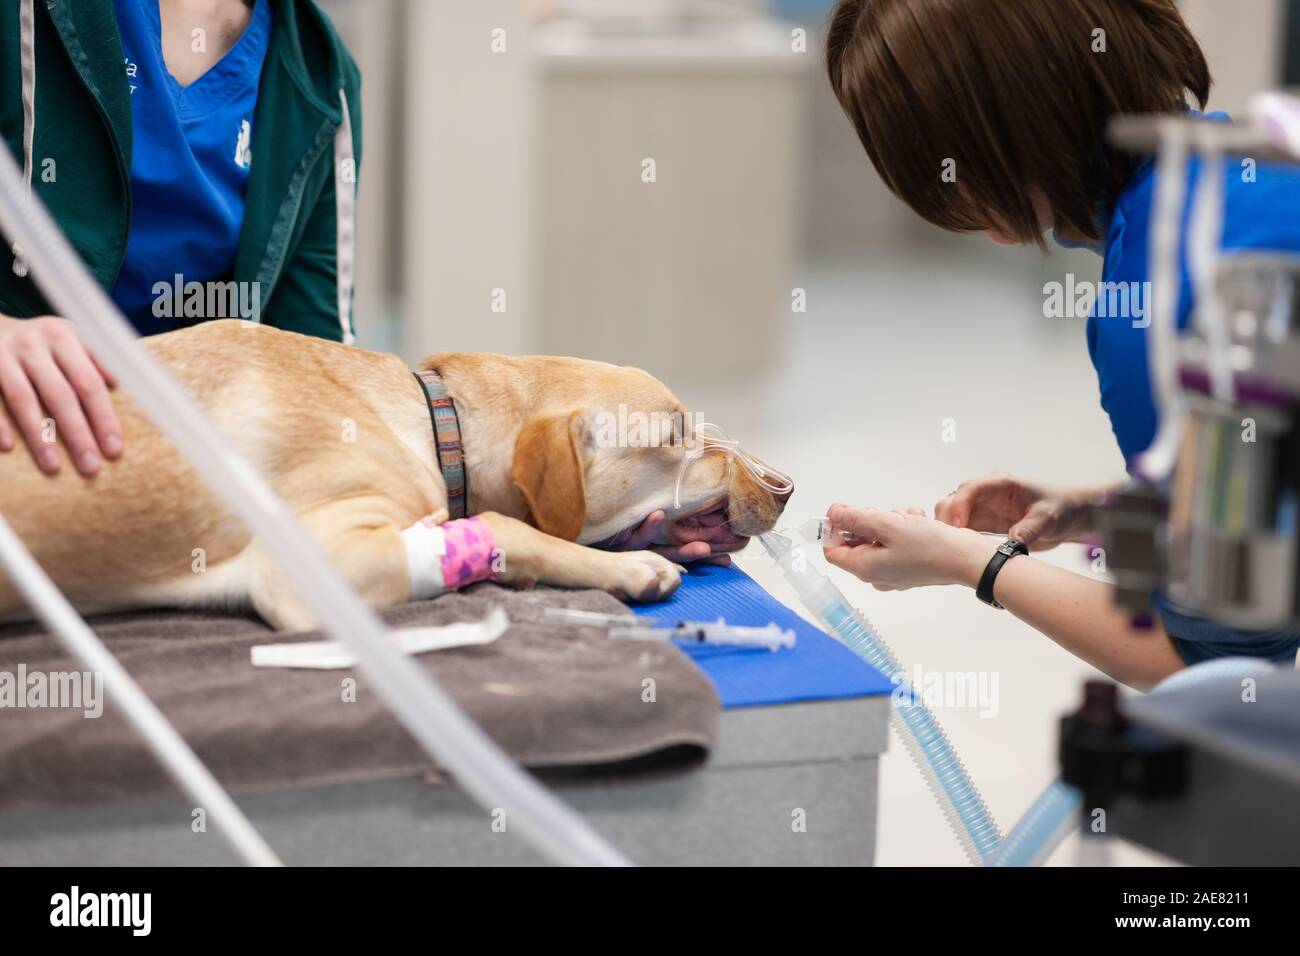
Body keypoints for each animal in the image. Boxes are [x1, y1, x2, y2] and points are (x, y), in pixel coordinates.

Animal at [0, 325, 790, 632]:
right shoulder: (308, 569)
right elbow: (499, 523)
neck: (434, 420)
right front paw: (631, 571)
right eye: (675, 434)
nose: (783, 485)